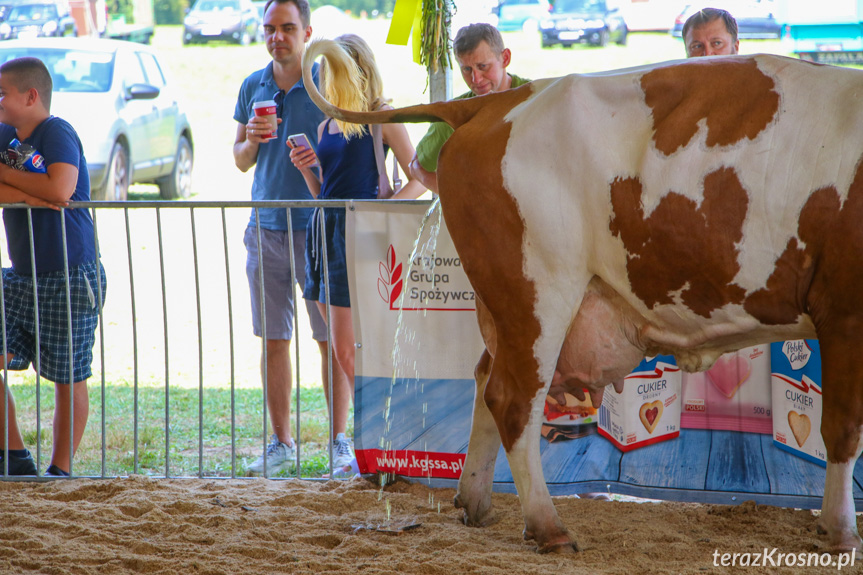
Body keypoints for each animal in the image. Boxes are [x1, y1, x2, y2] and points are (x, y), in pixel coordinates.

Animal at [302, 48, 863, 552]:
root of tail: (498, 102)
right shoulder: (845, 313)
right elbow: (841, 428)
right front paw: (839, 531)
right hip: (539, 292)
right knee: (512, 399)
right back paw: (547, 526)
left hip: (506, 303)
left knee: (485, 379)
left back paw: (475, 501)